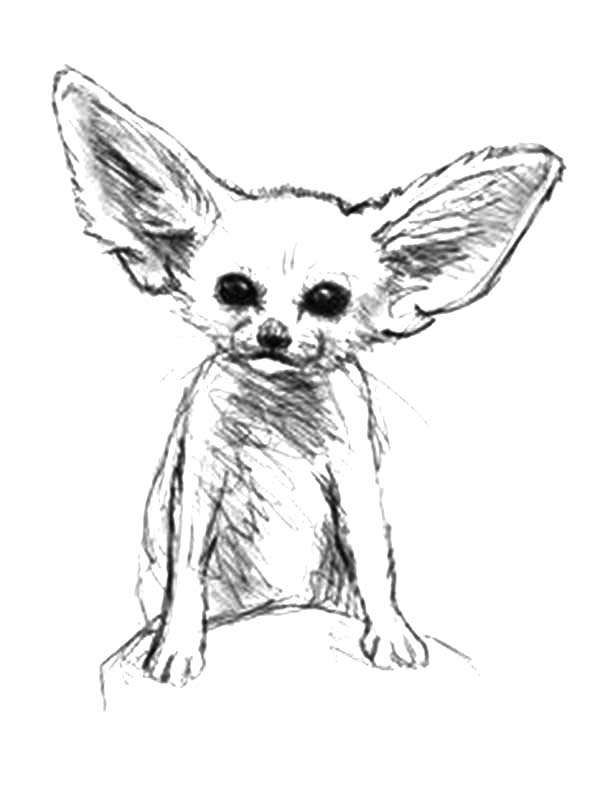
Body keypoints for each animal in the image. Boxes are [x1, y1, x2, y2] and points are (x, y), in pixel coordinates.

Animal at [53, 68, 564, 687]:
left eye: (327, 299)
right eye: (233, 290)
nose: (273, 335)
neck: (279, 410)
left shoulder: (355, 480)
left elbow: (373, 560)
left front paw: (391, 633)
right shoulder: (198, 481)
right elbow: (188, 568)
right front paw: (176, 645)